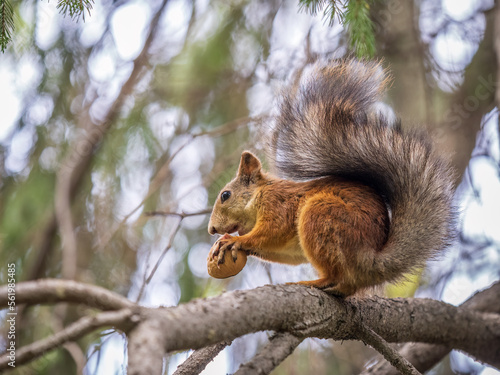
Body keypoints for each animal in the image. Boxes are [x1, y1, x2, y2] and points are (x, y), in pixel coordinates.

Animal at [205, 58, 456, 296]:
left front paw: (236, 241)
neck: (259, 194)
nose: (212, 230)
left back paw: (315, 282)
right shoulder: (289, 247)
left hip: (322, 216)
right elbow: (281, 251)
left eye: (225, 195)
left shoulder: (278, 204)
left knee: (339, 277)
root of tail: (370, 260)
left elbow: (273, 230)